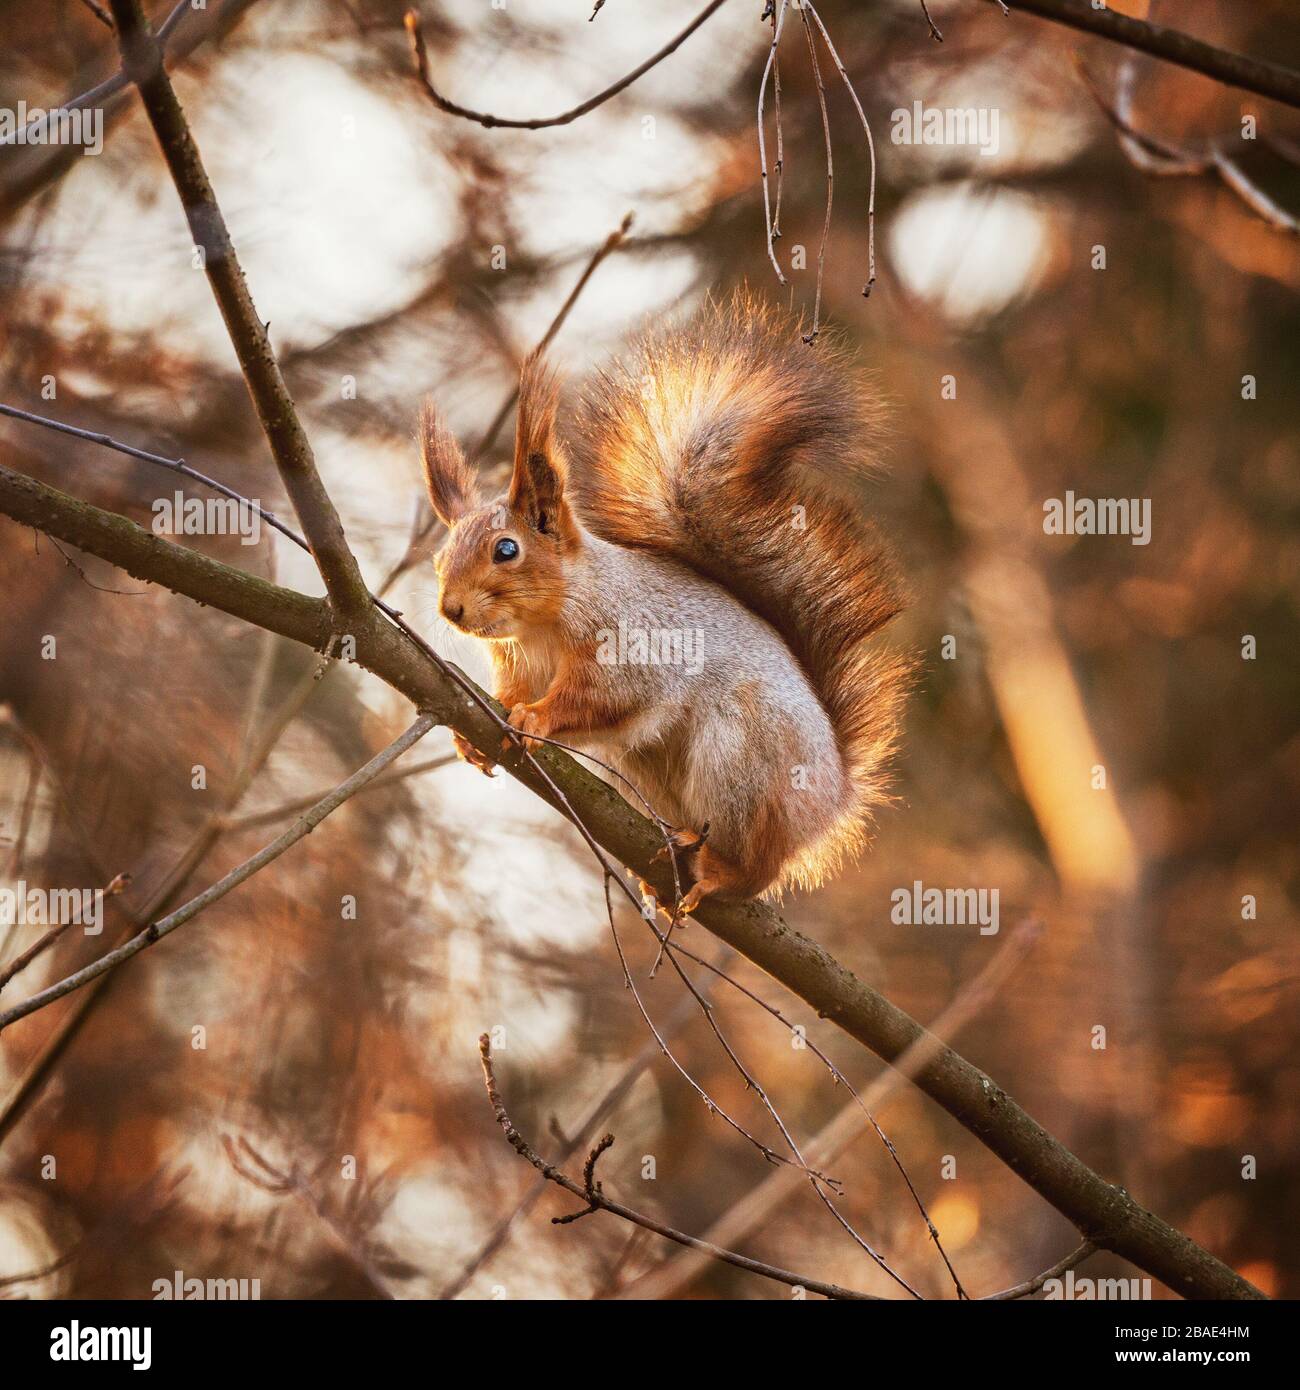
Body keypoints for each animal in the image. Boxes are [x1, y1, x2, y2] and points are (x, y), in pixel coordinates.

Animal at [419, 291, 911, 911]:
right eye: (439, 559)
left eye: (506, 549)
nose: (450, 610)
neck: (542, 625)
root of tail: (833, 798)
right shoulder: (518, 662)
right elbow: (511, 694)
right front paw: (480, 733)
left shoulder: (633, 644)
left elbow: (602, 696)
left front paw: (536, 717)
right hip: (651, 770)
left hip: (741, 759)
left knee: (762, 865)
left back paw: (724, 874)